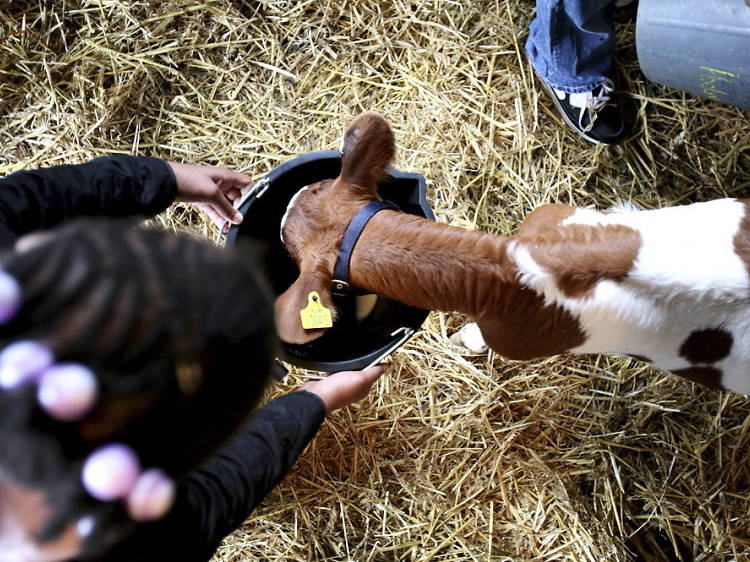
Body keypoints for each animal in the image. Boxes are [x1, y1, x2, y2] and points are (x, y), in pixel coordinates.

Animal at [276, 111, 750, 392]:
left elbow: (477, 336)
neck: (519, 266)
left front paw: (459, 340)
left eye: (288, 248)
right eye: (315, 187)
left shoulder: (516, 339)